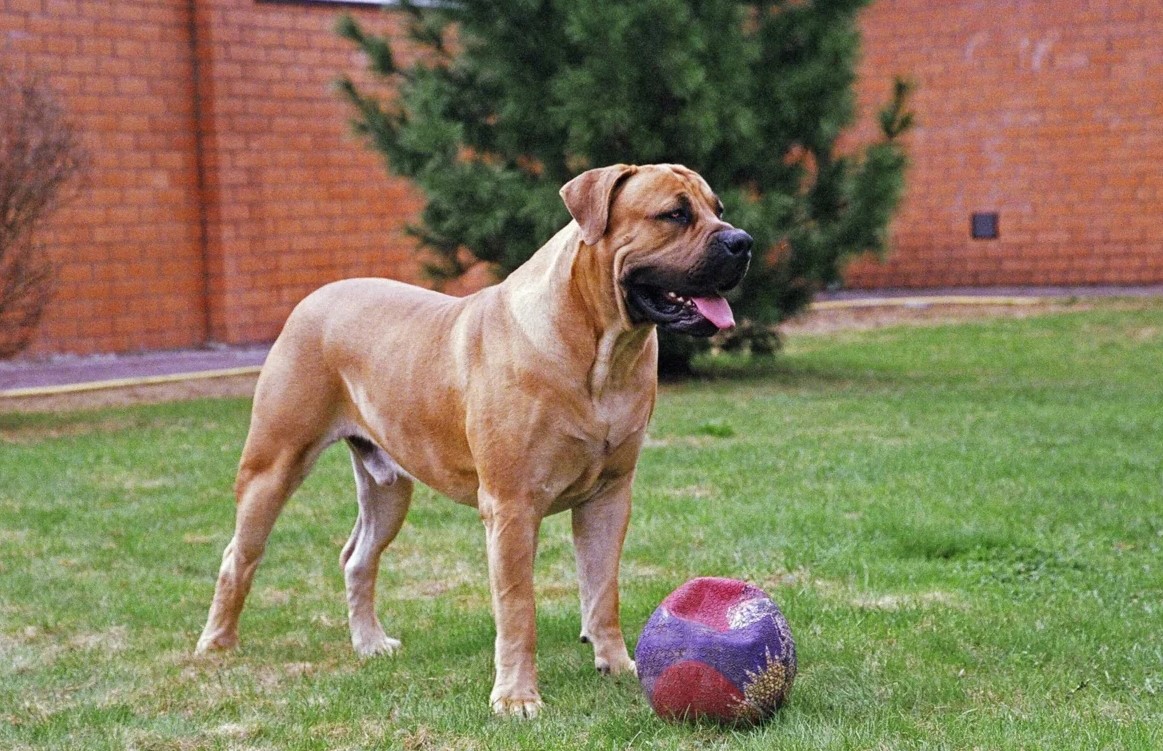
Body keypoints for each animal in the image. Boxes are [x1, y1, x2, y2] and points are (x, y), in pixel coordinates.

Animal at [190, 162, 753, 716]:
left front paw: (616, 664)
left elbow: (602, 589)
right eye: (674, 214)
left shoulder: (609, 496)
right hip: (274, 465)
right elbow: (517, 606)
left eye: (717, 208)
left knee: (359, 557)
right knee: (239, 555)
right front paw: (517, 698)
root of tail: (315, 296)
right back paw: (217, 643)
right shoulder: (511, 507)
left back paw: (369, 643)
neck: (601, 349)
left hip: (388, 488)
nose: (742, 241)